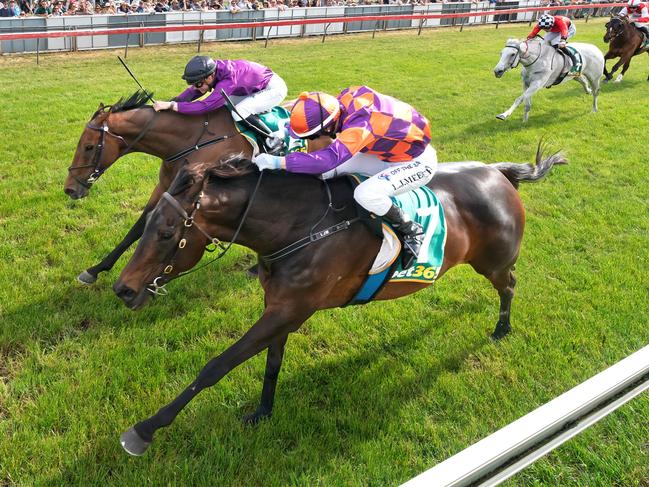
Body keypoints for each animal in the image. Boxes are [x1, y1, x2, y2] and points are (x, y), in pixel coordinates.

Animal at [112, 147, 568, 456]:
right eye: (146, 223)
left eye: (167, 233)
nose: (124, 289)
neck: (300, 227)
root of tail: (497, 171)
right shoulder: (281, 306)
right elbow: (272, 362)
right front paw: (263, 411)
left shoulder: (292, 308)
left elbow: (216, 365)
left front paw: (145, 430)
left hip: (493, 260)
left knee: (509, 284)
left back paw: (502, 327)